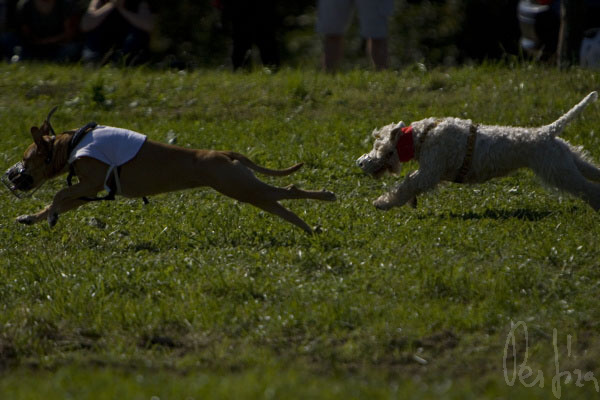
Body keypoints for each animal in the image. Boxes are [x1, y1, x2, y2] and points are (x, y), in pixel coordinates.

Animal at [2, 109, 336, 234]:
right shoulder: (86, 191)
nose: (10, 175)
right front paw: (31, 217)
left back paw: (326, 197)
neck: (71, 143)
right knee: (281, 204)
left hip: (239, 186)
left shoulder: (90, 182)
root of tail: (225, 153)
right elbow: (56, 202)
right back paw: (310, 229)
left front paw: (51, 216)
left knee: (288, 191)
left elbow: (58, 194)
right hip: (246, 189)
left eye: (25, 157)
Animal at [356, 90, 600, 209]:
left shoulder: (430, 172)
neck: (422, 136)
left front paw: (382, 203)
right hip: (569, 160)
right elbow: (410, 187)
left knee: (588, 189)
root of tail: (547, 132)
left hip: (558, 171)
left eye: (378, 146)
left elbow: (407, 184)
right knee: (592, 172)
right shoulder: (433, 173)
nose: (360, 162)